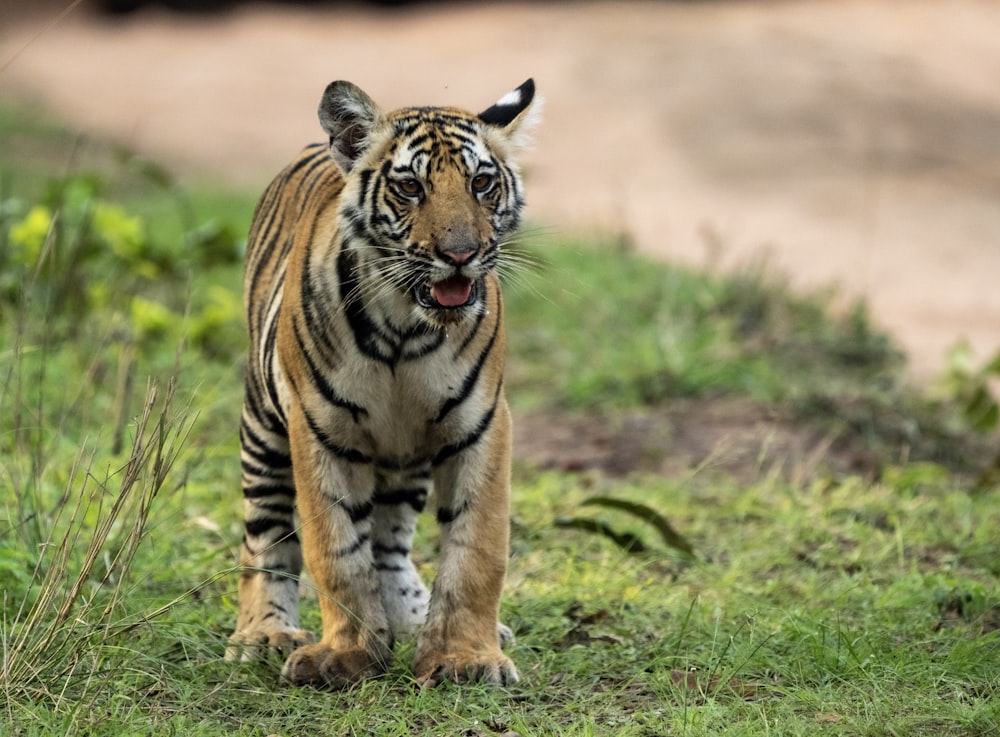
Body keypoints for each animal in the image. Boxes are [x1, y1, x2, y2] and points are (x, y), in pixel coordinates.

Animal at [227, 77, 540, 688]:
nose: (461, 255)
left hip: (407, 456)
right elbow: (336, 550)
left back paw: (414, 619)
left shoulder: (481, 424)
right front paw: (345, 655)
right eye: (411, 187)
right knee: (266, 536)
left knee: (390, 542)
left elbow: (476, 549)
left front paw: (466, 657)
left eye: (482, 183)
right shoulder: (319, 429)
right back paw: (263, 634)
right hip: (263, 429)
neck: (405, 328)